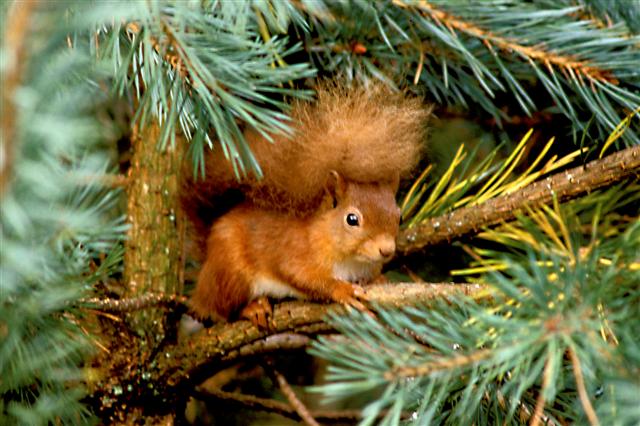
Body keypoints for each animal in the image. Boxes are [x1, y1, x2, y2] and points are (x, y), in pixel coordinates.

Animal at [182, 81, 430, 327]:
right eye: (352, 219)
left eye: (400, 216)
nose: (387, 250)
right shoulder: (295, 251)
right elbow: (301, 275)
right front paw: (342, 290)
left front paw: (379, 279)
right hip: (231, 274)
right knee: (219, 309)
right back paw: (252, 307)